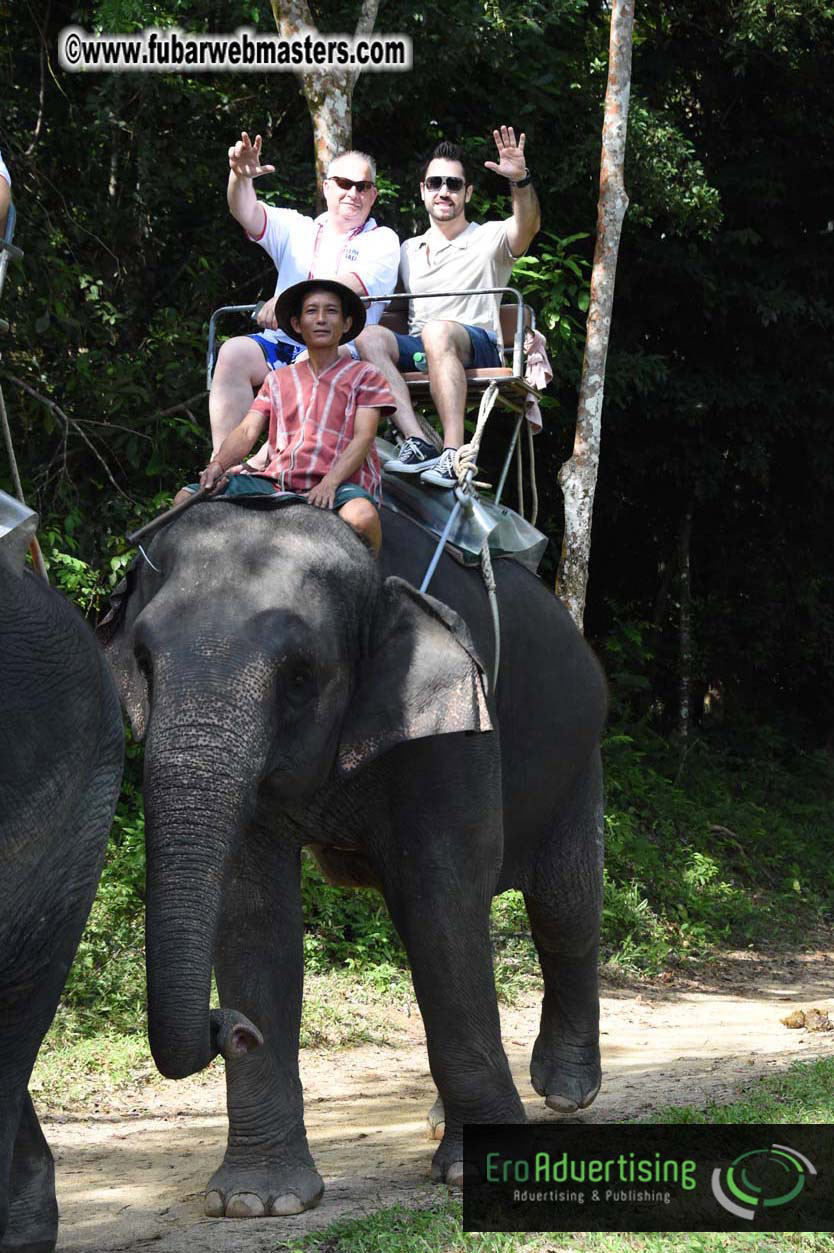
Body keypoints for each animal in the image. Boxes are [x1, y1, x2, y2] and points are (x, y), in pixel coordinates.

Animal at [99, 494, 606, 1216]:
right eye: (142, 661)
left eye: (300, 674)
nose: (232, 1029)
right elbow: (255, 916)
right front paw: (256, 1202)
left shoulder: (453, 725)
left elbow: (442, 899)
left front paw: (481, 1171)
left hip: (578, 752)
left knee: (564, 907)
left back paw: (565, 1090)